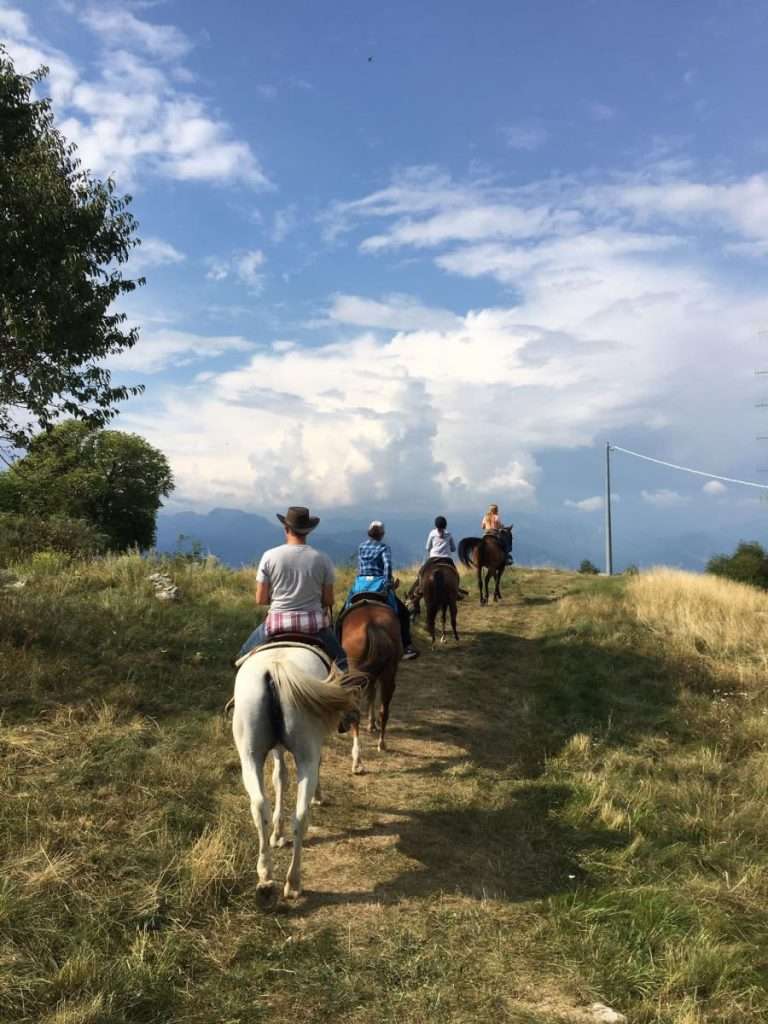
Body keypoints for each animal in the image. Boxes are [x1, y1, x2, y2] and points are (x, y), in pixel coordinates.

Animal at [231, 647, 360, 897]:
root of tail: (275, 668)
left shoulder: (277, 749)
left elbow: (280, 778)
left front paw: (277, 834)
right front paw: (318, 797)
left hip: (250, 757)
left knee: (260, 806)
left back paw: (266, 873)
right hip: (306, 755)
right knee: (301, 815)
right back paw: (293, 882)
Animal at [342, 598, 403, 774]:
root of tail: (372, 624)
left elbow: (370, 694)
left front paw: (370, 724)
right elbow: (372, 694)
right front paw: (371, 724)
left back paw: (358, 760)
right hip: (388, 674)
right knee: (384, 710)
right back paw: (380, 744)